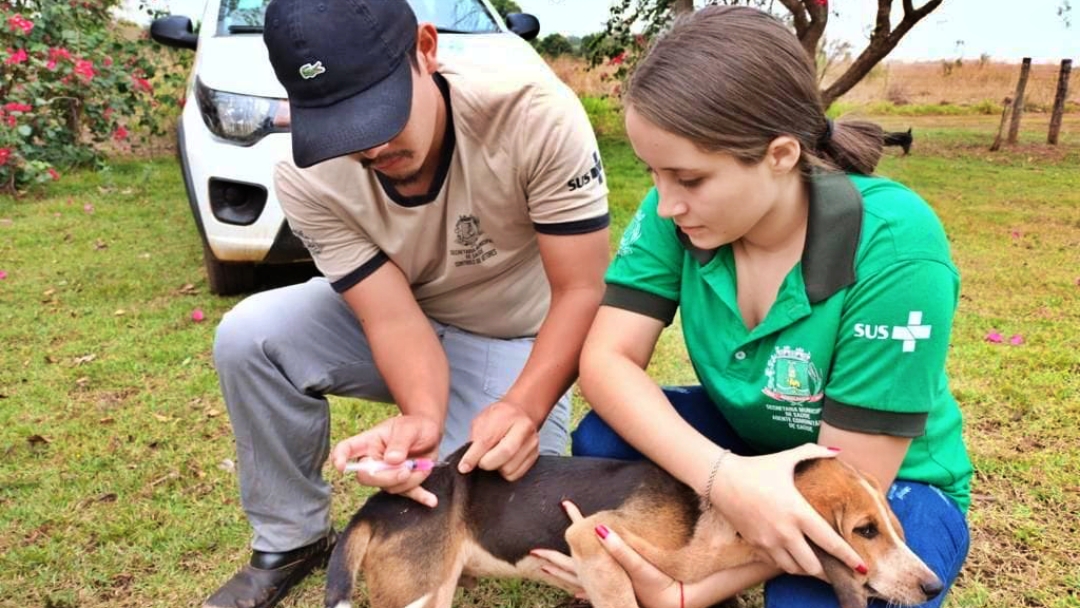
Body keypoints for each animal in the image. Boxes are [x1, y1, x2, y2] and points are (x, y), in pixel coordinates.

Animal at [324, 447, 941, 608]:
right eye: (865, 531)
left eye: (895, 526)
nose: (933, 585)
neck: (720, 524)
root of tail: (375, 508)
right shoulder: (590, 536)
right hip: (418, 597)